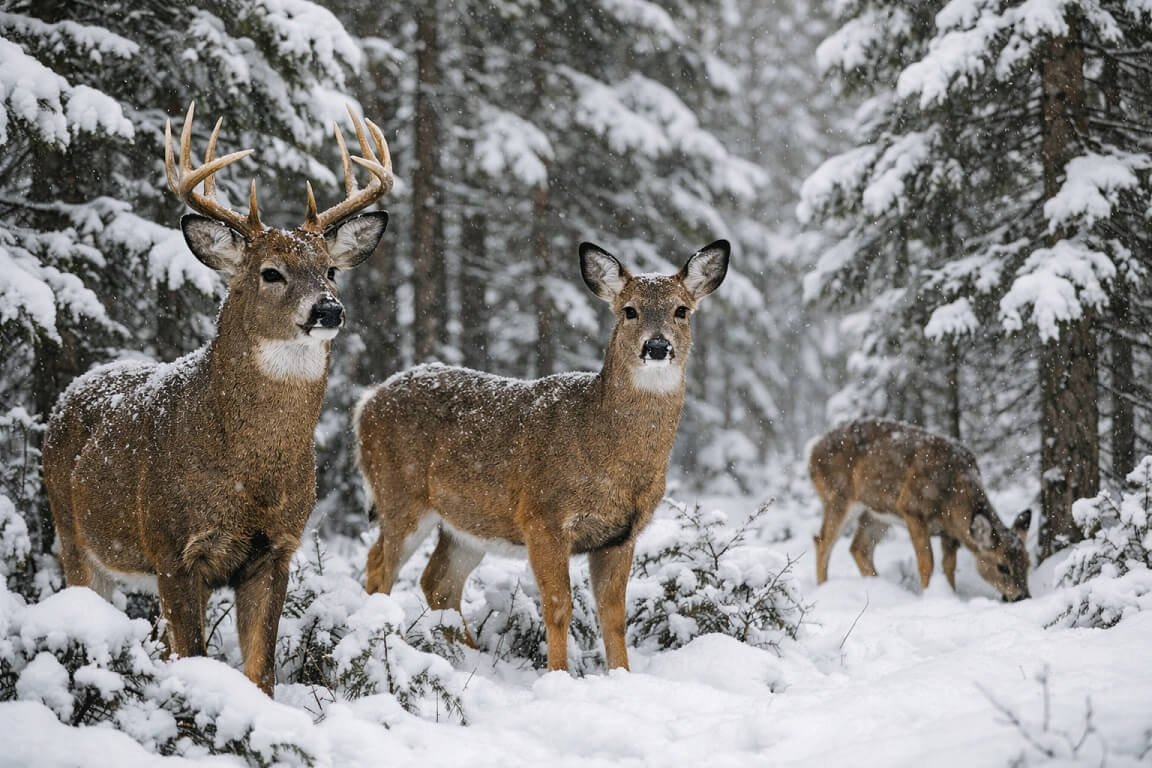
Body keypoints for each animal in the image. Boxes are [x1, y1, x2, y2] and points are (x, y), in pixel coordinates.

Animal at [41, 103, 393, 695]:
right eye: (270, 272)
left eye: (331, 269)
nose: (329, 309)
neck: (250, 472)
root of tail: (71, 392)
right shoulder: (172, 548)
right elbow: (195, 657)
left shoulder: (275, 551)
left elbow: (259, 671)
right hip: (72, 532)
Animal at [355, 240, 730, 672]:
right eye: (629, 310)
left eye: (681, 310)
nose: (657, 346)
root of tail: (365, 403)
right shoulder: (542, 516)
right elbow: (557, 605)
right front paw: (558, 674)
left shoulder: (621, 534)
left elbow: (613, 615)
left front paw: (622, 674)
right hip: (399, 492)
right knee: (378, 567)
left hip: (467, 523)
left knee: (438, 583)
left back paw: (472, 658)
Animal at [809, 418, 1032, 601]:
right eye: (1002, 566)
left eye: (1028, 563)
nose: (1023, 597)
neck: (952, 495)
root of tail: (812, 454)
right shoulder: (910, 507)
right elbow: (927, 563)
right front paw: (929, 597)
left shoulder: (949, 531)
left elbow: (949, 567)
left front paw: (951, 596)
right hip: (838, 496)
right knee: (823, 541)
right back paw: (822, 589)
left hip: (876, 513)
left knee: (858, 547)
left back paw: (881, 588)